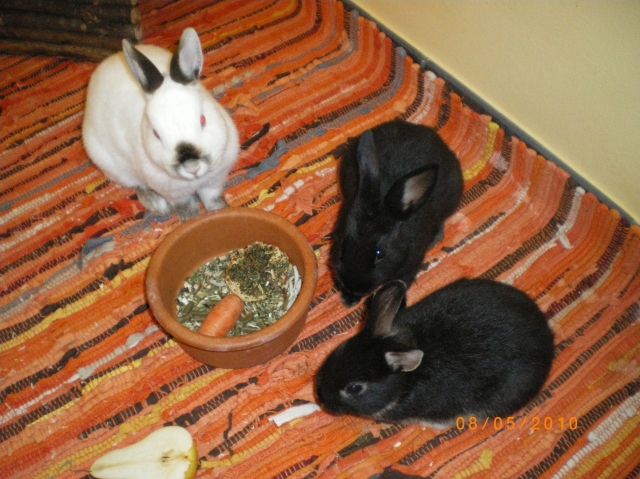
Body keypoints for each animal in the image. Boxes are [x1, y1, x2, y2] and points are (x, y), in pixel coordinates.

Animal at [82, 28, 239, 215]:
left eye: (203, 120)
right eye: (156, 134)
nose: (191, 167)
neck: (196, 181)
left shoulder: (214, 182)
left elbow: (212, 199)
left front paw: (220, 210)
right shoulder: (174, 194)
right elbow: (185, 206)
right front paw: (192, 216)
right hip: (114, 168)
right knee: (137, 186)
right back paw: (157, 204)